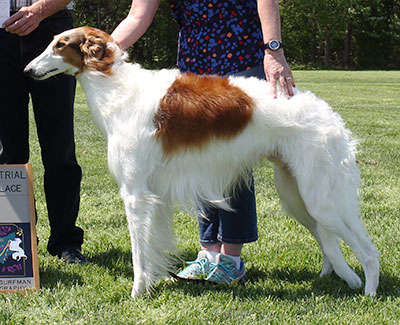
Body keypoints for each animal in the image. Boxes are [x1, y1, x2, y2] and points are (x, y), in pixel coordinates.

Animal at [23, 27, 380, 296]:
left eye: (59, 45)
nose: (27, 71)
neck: (117, 88)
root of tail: (330, 115)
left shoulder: (135, 193)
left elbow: (140, 253)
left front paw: (138, 292)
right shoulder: (154, 194)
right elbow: (154, 245)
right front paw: (157, 282)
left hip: (322, 199)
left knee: (369, 252)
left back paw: (368, 292)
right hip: (296, 195)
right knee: (328, 242)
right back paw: (334, 276)